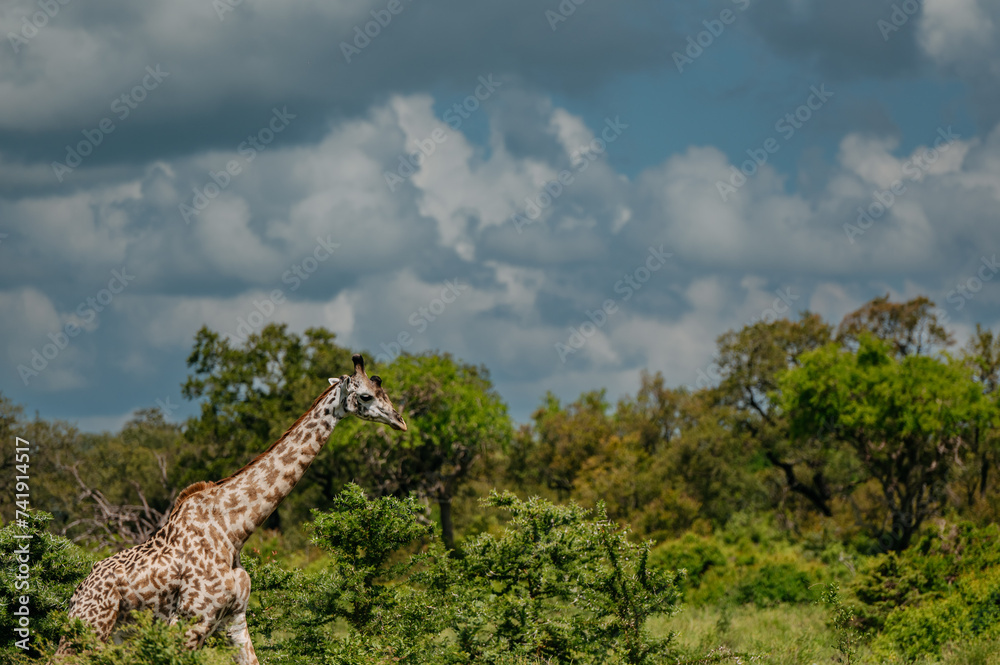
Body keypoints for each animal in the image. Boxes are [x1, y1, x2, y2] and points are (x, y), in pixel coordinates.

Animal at [54, 354, 406, 664]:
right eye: (366, 395)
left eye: (384, 390)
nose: (400, 422)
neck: (234, 529)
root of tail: (75, 595)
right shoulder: (192, 620)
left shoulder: (234, 620)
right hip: (90, 628)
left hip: (113, 636)